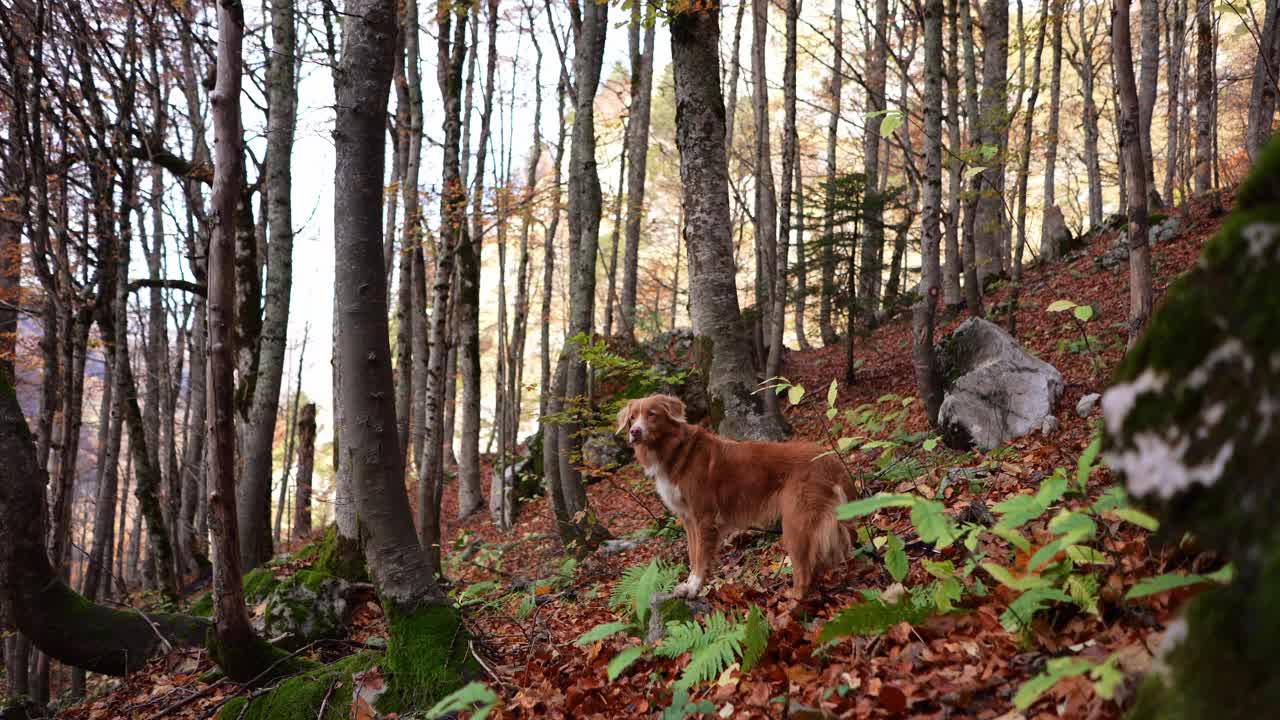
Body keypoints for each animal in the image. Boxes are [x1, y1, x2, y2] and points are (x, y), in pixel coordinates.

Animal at [616, 394, 855, 597]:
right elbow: (693, 554)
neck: (675, 450)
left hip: (796, 521)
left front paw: (694, 587)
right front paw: (689, 584)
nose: (634, 432)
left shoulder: (704, 517)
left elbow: (700, 557)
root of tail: (830, 458)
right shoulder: (688, 519)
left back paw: (793, 604)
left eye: (652, 414)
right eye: (632, 418)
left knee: (804, 572)